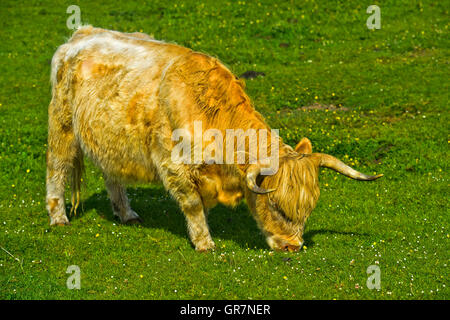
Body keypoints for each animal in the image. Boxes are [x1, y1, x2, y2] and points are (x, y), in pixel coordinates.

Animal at [46, 26, 384, 252]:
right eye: (275, 205)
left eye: (308, 208)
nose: (293, 246)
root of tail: (80, 34)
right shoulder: (173, 165)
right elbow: (193, 204)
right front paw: (204, 242)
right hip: (62, 127)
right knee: (56, 169)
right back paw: (58, 217)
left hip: (111, 142)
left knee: (112, 176)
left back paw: (126, 213)